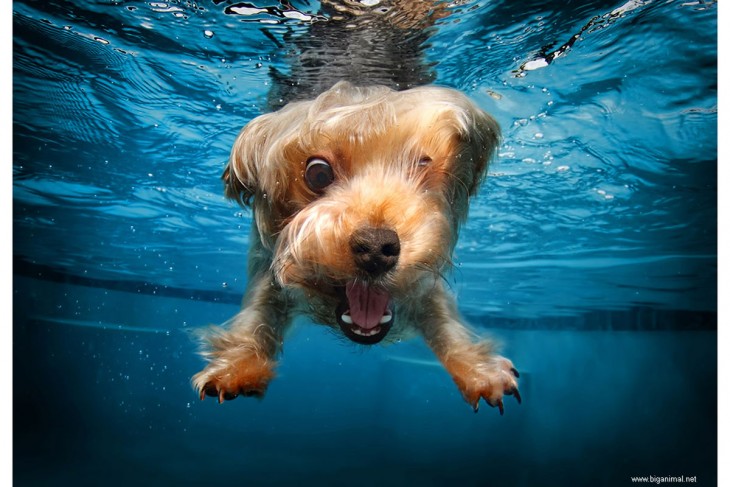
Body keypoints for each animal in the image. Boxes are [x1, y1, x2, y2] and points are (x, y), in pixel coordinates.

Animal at [192, 1, 516, 416]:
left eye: (422, 164)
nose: (377, 247)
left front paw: (476, 368)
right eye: (317, 173)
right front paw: (239, 364)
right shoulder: (267, 267)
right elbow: (258, 312)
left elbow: (444, 321)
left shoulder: (422, 288)